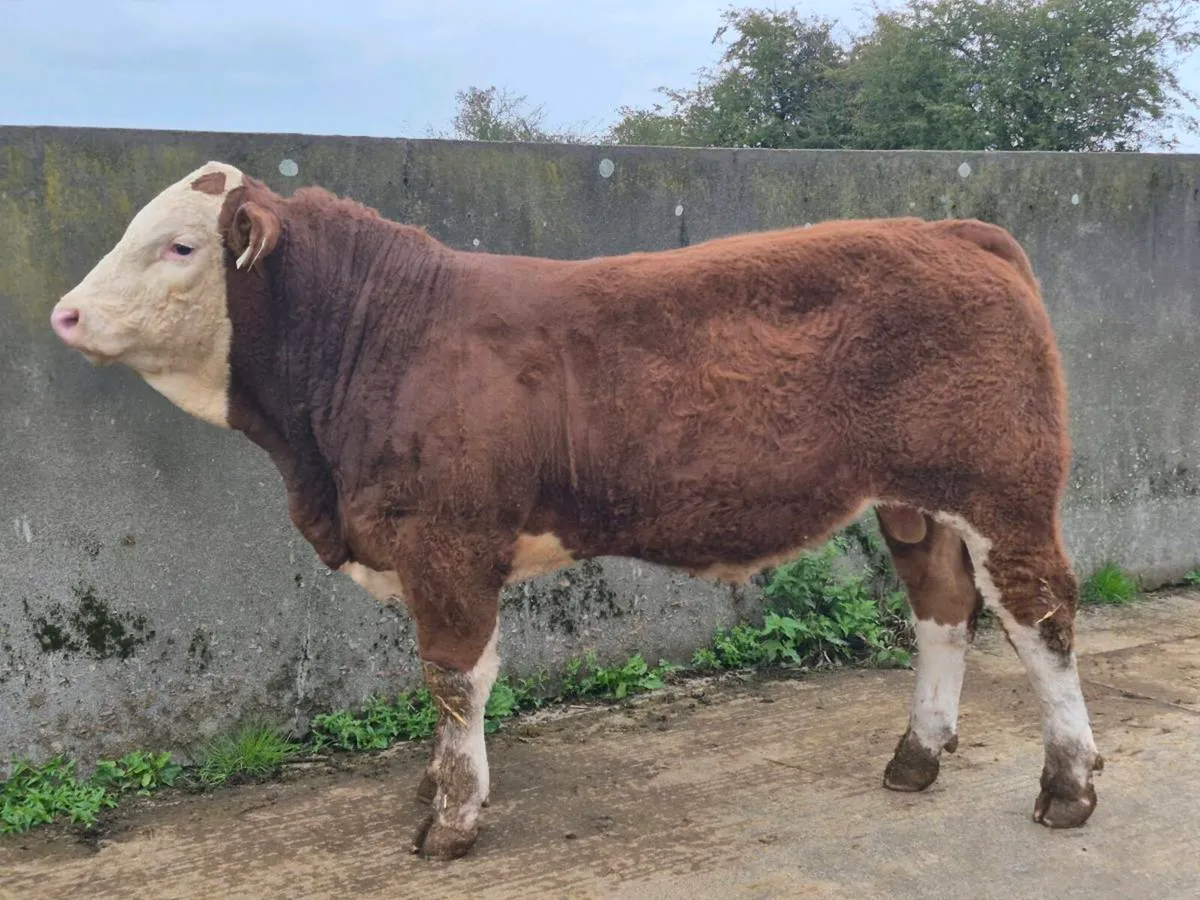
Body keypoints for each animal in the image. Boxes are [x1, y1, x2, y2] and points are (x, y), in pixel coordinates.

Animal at [49, 160, 1103, 861]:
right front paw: (437, 789)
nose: (64, 313)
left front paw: (451, 817)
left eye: (180, 245)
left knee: (1039, 615)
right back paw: (917, 757)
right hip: (912, 502)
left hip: (1002, 486)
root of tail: (952, 230)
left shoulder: (447, 543)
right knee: (943, 610)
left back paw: (1067, 785)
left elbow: (453, 679)